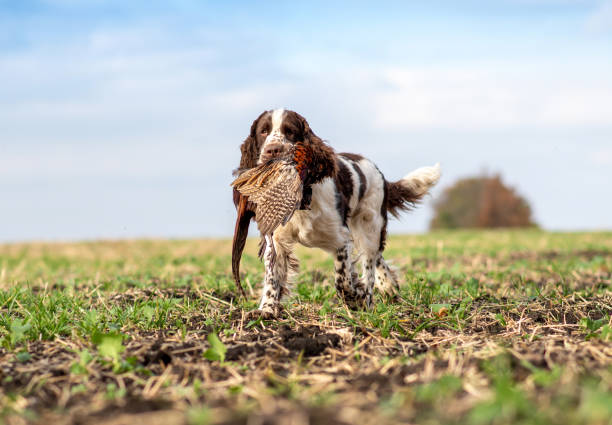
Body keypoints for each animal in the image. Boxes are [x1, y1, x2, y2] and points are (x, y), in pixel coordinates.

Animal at [234, 109, 440, 314]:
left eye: (290, 131)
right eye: (263, 131)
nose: (273, 150)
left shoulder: (341, 239)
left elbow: (343, 281)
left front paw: (355, 298)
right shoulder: (276, 241)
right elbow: (272, 277)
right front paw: (266, 310)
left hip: (370, 226)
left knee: (370, 262)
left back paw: (369, 298)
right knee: (376, 259)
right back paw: (388, 285)